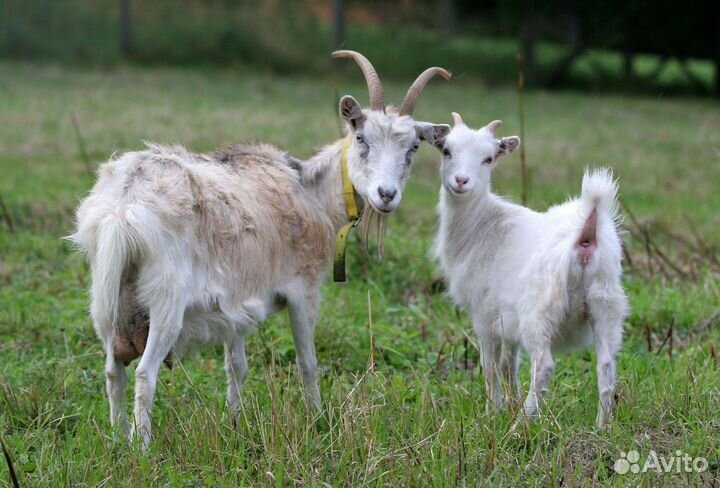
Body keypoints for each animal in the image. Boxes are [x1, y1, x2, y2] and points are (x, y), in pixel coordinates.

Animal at [70, 51, 450, 447]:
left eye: (413, 147)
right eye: (361, 137)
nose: (386, 195)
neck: (312, 192)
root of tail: (123, 207)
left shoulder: (236, 305)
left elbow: (236, 366)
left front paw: (235, 424)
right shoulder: (303, 290)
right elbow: (307, 362)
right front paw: (317, 420)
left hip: (105, 298)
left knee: (113, 371)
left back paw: (117, 438)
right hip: (165, 301)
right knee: (145, 373)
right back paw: (143, 448)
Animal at [432, 113, 627, 427]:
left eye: (488, 158)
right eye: (447, 150)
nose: (461, 181)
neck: (482, 226)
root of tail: (586, 238)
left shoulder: (484, 314)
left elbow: (490, 366)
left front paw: (493, 412)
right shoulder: (506, 321)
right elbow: (507, 365)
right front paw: (508, 405)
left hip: (540, 310)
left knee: (544, 366)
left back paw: (521, 424)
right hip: (606, 304)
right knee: (606, 365)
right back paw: (602, 427)